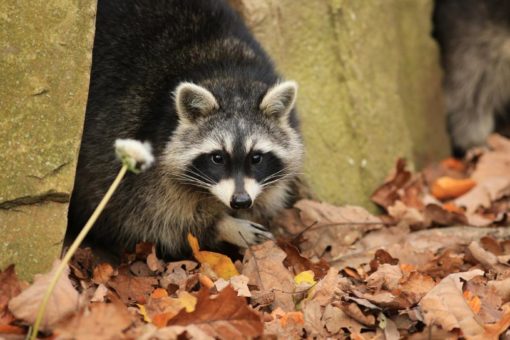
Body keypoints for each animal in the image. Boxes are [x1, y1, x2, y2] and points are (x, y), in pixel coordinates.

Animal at [69, 0, 304, 256]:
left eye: (257, 157)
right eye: (217, 157)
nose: (240, 201)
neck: (228, 76)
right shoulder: (131, 139)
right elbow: (149, 218)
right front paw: (223, 225)